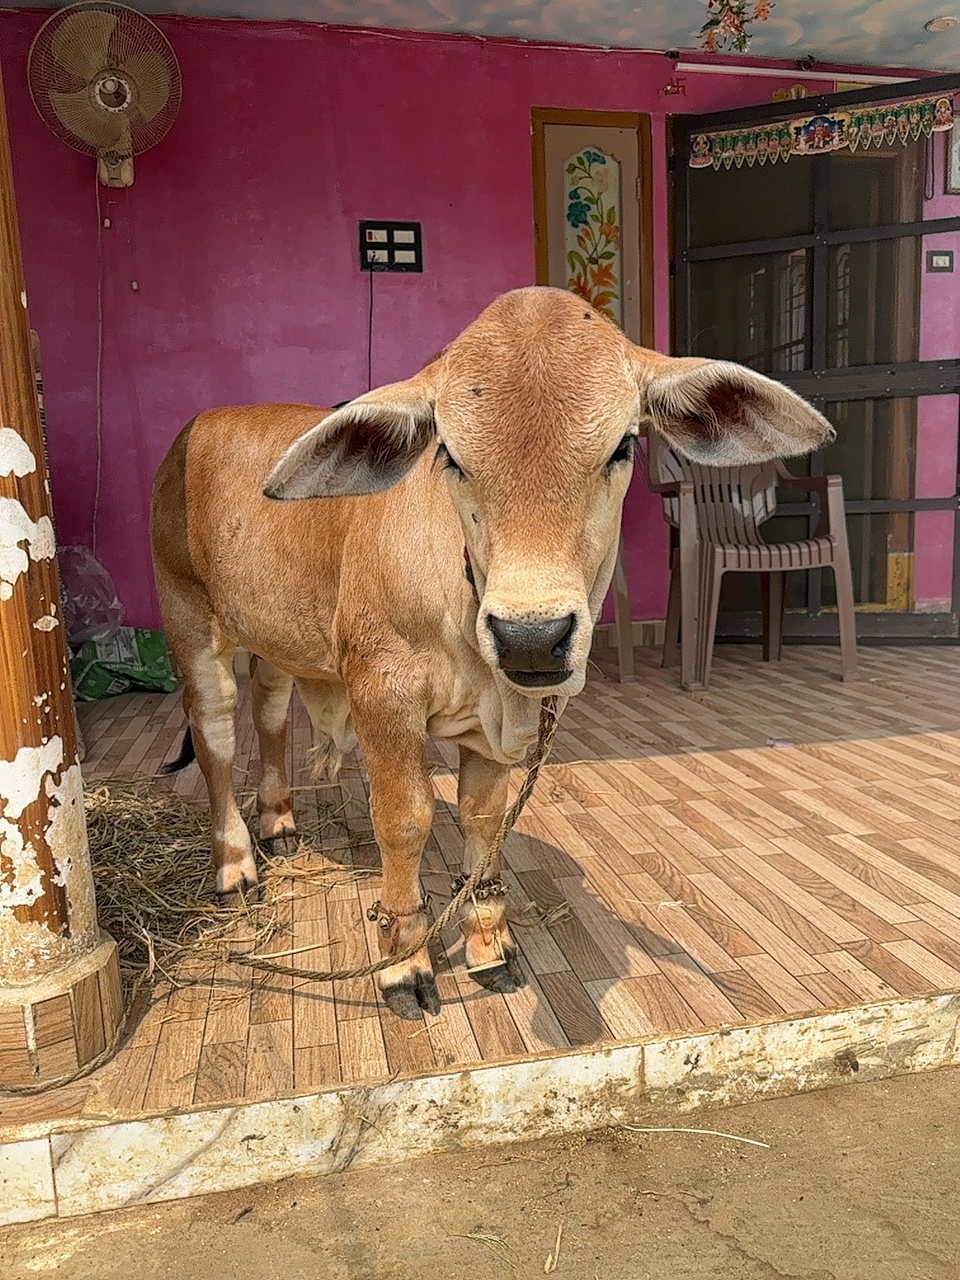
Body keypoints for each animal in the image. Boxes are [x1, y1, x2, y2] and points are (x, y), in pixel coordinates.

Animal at [150, 286, 833, 1019]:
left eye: (623, 444)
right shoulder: (383, 694)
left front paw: (488, 946)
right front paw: (403, 959)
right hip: (190, 621)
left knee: (271, 715)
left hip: (275, 640)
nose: (531, 636)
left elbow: (483, 819)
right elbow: (404, 820)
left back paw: (278, 821)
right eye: (449, 454)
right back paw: (235, 862)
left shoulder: (493, 725)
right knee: (217, 737)